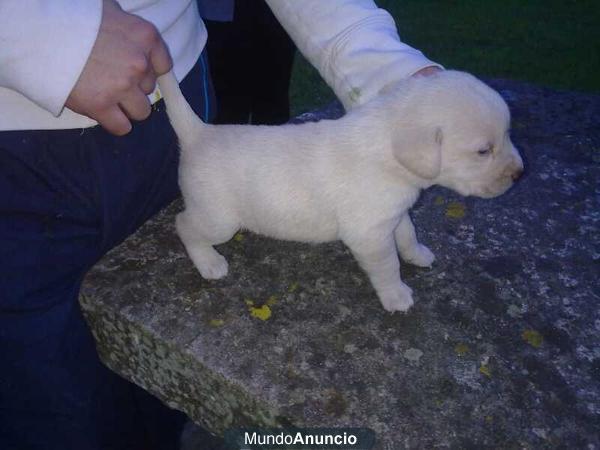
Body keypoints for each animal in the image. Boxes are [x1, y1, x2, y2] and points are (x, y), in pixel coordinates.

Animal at [157, 69, 524, 312]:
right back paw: (209, 263)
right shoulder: (370, 235)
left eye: (508, 133)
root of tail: (199, 133)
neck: (387, 150)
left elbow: (407, 236)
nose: (520, 174)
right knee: (184, 226)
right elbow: (388, 266)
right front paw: (396, 296)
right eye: (483, 151)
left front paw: (417, 254)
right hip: (218, 219)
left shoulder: (393, 215)